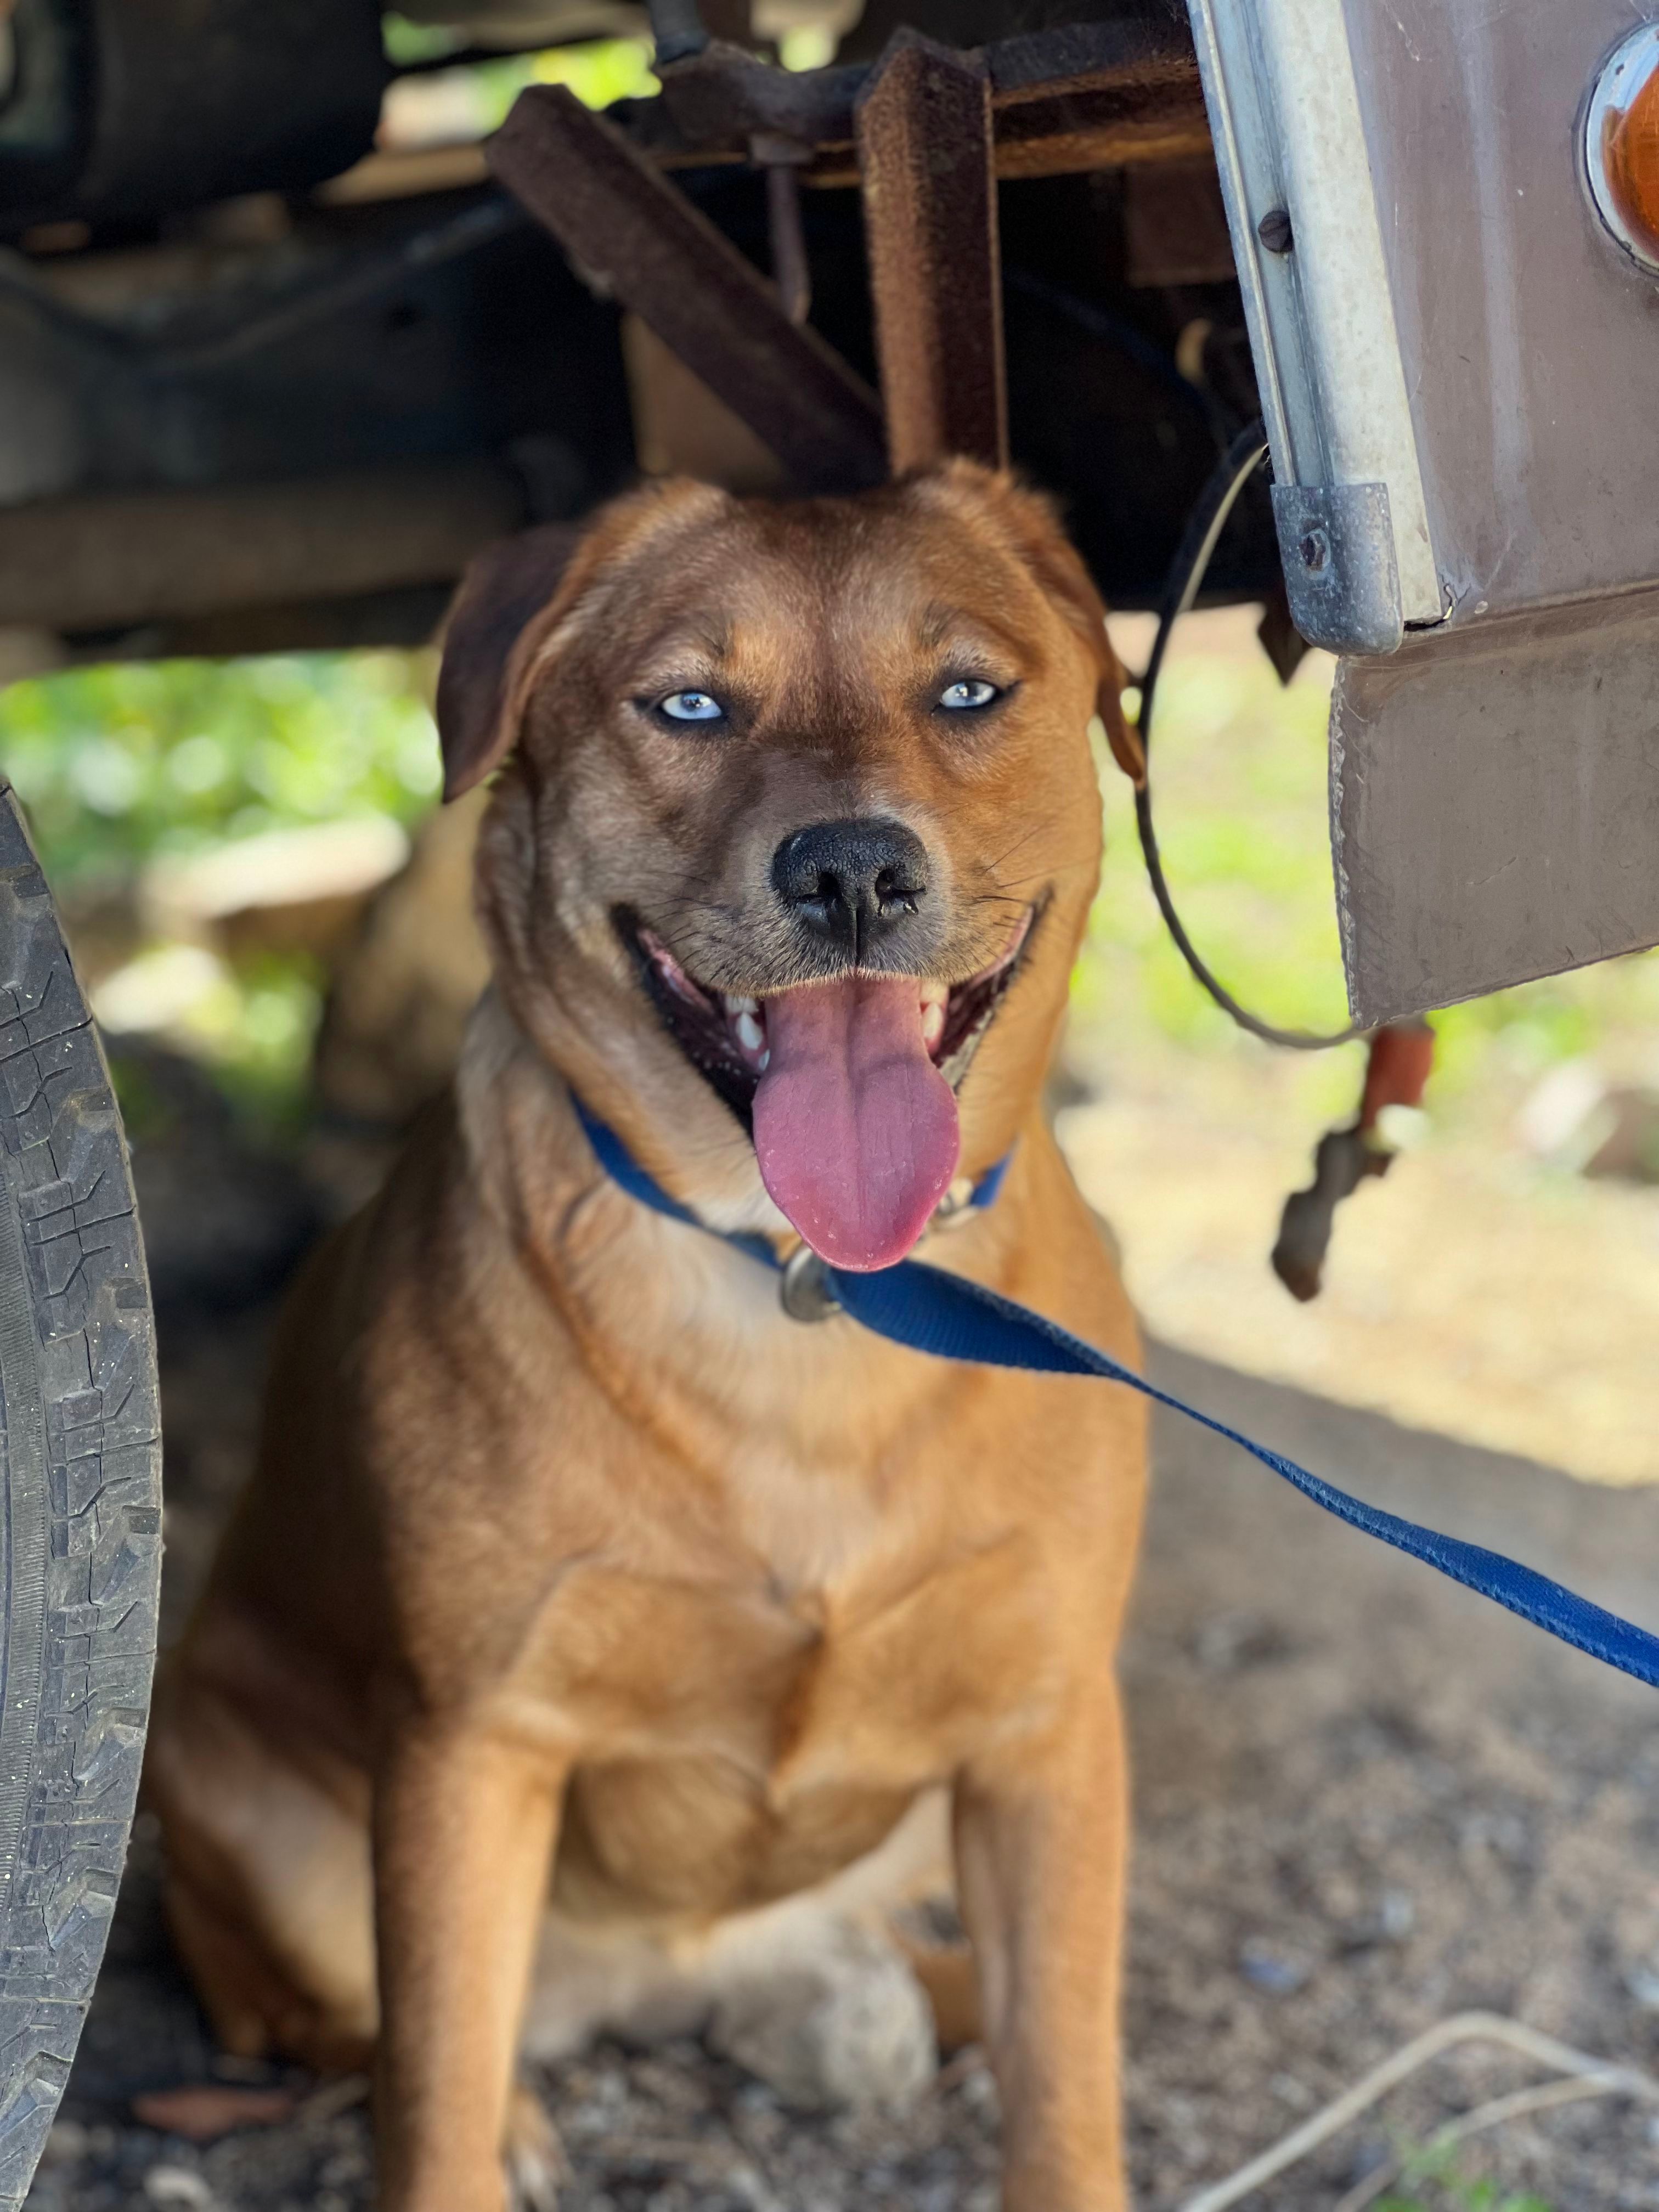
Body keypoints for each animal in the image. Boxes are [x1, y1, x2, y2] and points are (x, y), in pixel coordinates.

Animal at [143, 466, 1159, 2212]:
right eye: (689, 705)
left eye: (968, 693)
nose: (852, 873)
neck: (811, 1288)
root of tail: (654, 1977)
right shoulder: (472, 1746)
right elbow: (430, 2096)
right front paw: (468, 2138)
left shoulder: (1048, 1738)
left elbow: (1064, 2089)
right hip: (258, 1821)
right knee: (374, 2031)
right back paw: (520, 2110)